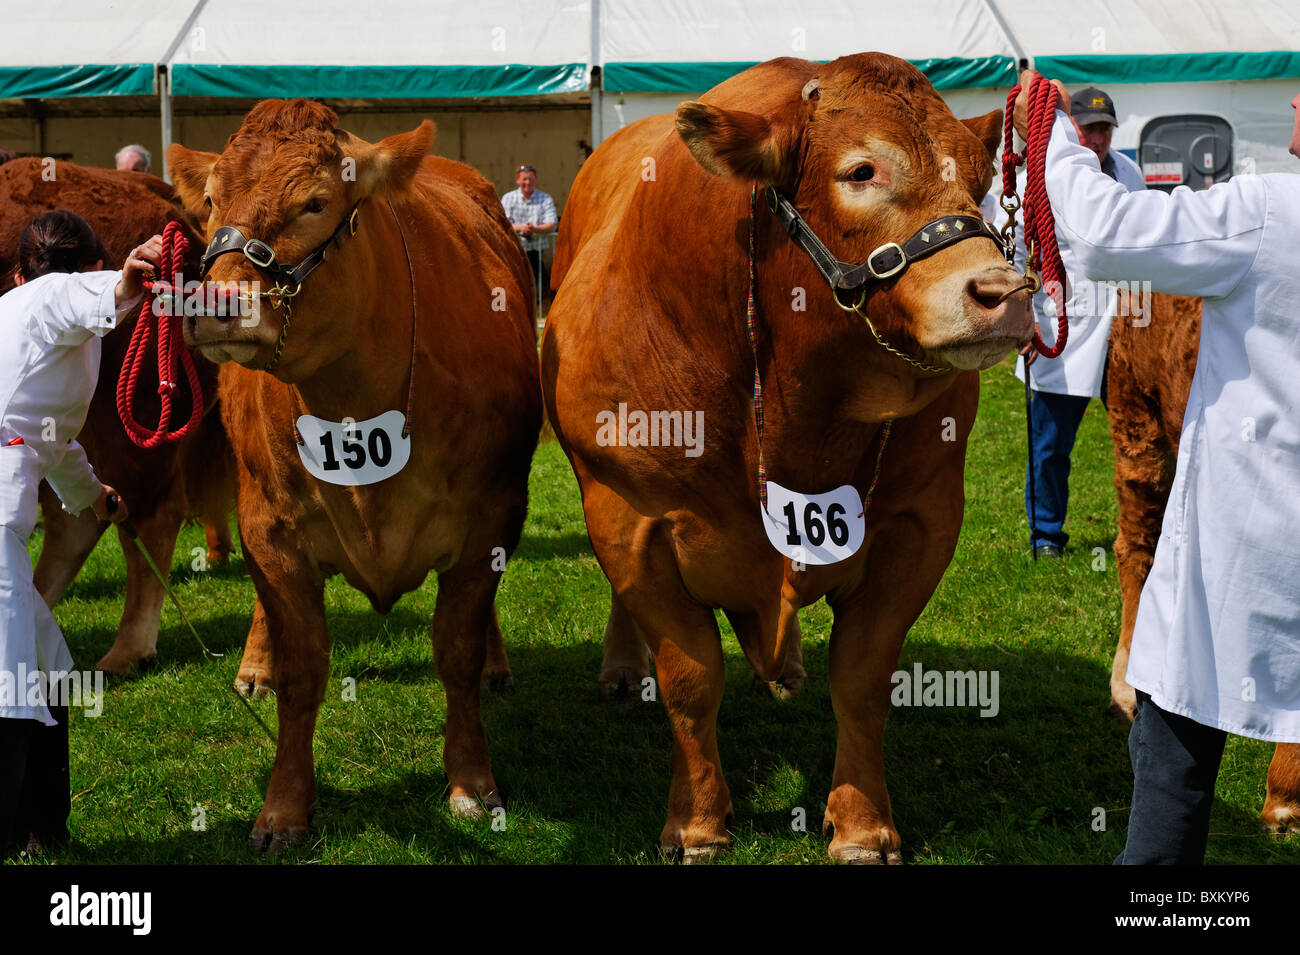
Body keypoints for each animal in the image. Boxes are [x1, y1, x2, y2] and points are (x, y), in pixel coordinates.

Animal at [167, 98, 543, 852]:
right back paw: (254, 666)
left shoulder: (493, 514)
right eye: (213, 200)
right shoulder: (269, 530)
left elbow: (456, 647)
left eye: (315, 202)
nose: (216, 304)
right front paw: (282, 809)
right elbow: (303, 669)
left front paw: (472, 782)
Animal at [543, 59, 1029, 867]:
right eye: (861, 171)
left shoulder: (923, 520)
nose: (1006, 293)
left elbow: (862, 677)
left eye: (981, 175)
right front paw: (697, 821)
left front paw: (862, 824)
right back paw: (622, 668)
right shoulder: (630, 514)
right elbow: (690, 676)